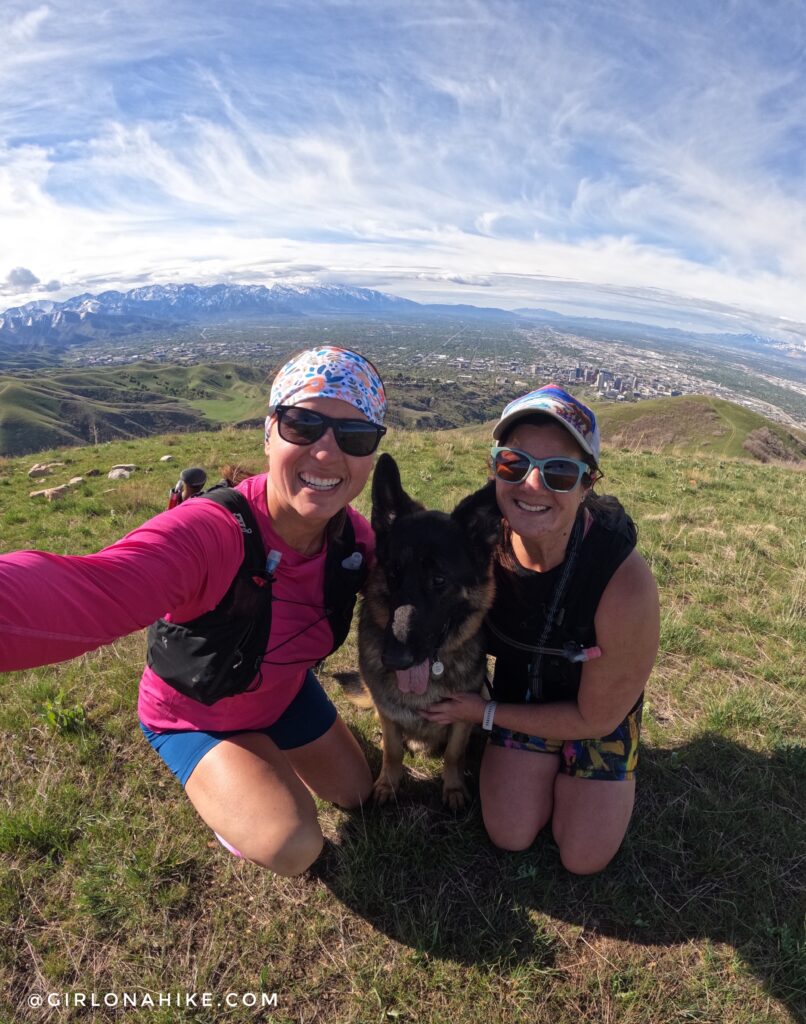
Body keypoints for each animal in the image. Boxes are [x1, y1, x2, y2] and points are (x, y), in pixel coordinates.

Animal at [352, 454, 497, 806]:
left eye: (440, 580)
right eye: (393, 573)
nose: (394, 658)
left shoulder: (462, 715)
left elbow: (454, 754)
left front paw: (454, 789)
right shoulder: (388, 714)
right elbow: (392, 751)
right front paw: (388, 785)